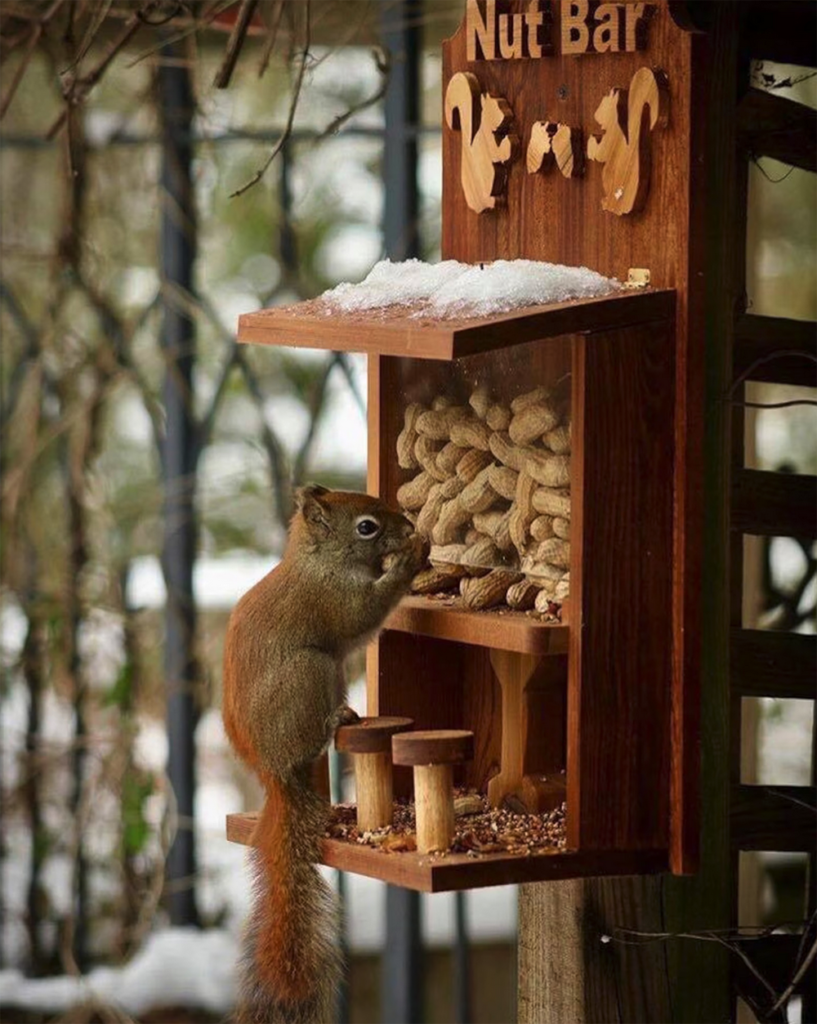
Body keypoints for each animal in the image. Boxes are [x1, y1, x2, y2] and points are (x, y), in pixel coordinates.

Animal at [225, 485, 427, 1024]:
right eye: (367, 527)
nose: (409, 526)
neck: (320, 562)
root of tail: (271, 771)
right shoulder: (333, 599)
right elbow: (362, 614)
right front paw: (410, 559)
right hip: (311, 672)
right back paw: (336, 722)